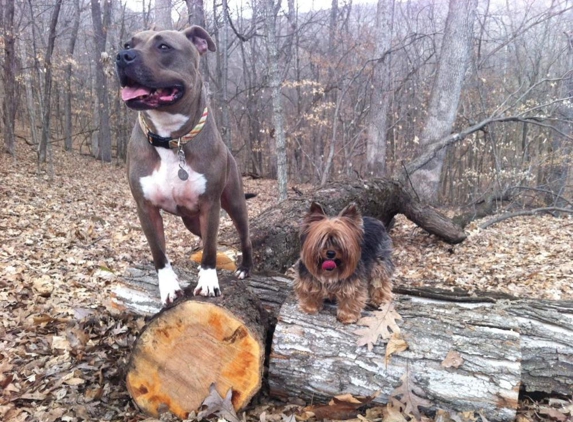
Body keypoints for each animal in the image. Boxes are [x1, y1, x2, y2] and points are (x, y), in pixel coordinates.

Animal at [115, 25, 251, 304]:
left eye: (164, 46)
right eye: (128, 44)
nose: (122, 56)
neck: (170, 138)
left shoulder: (210, 204)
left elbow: (210, 250)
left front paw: (208, 282)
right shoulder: (146, 209)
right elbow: (159, 252)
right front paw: (168, 286)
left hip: (234, 203)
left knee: (243, 235)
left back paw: (245, 267)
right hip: (192, 220)